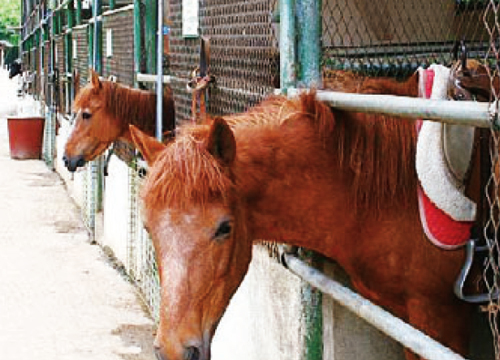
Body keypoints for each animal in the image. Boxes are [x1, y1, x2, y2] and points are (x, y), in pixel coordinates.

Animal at [129, 71, 472, 358]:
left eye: (225, 228)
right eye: (147, 228)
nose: (173, 351)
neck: (394, 188)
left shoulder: (437, 316)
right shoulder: (406, 324)